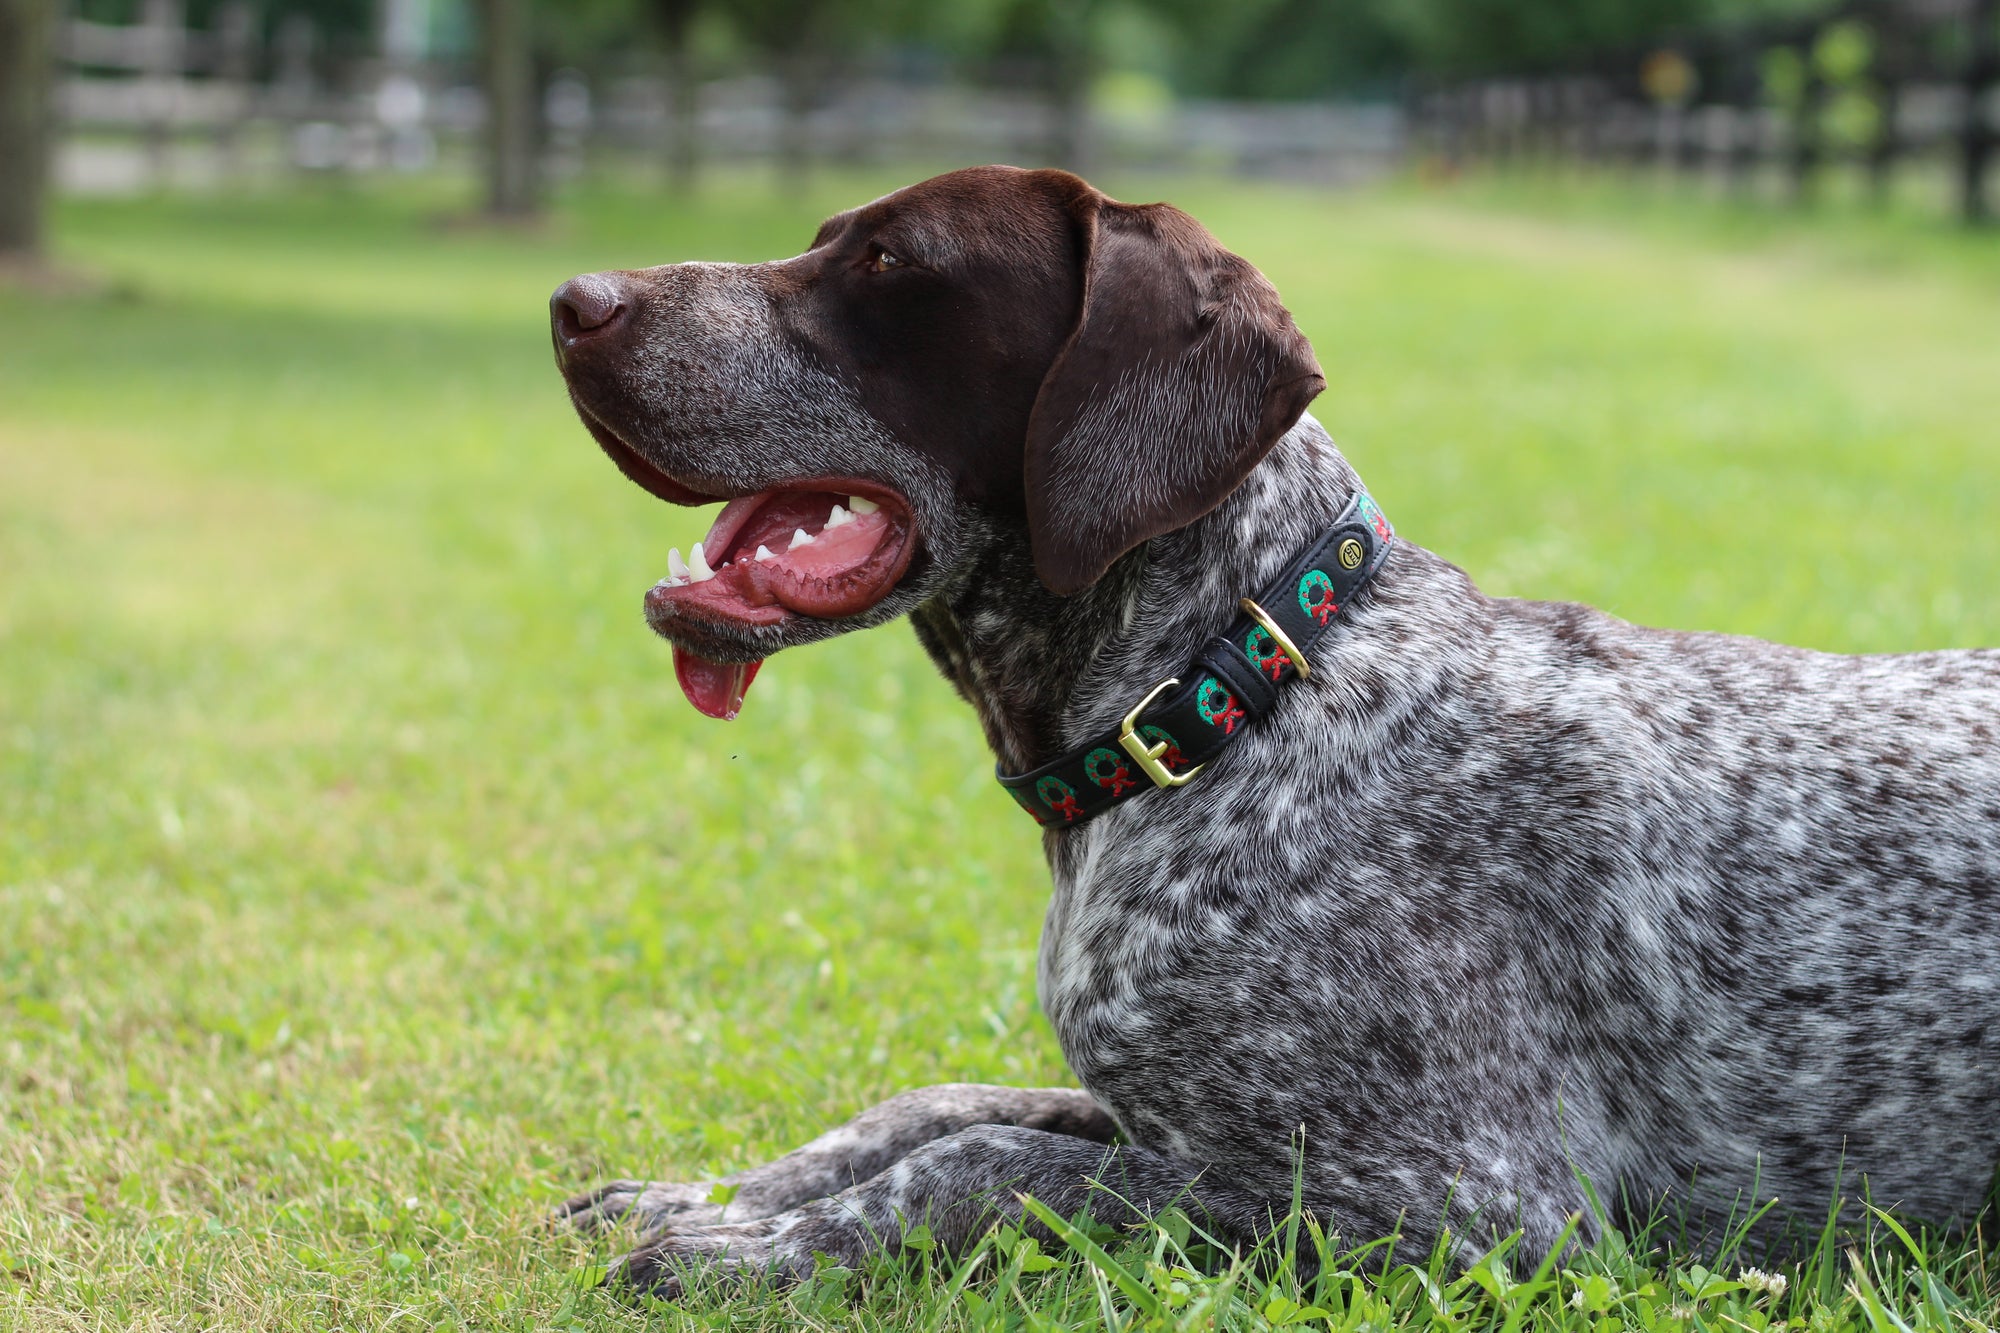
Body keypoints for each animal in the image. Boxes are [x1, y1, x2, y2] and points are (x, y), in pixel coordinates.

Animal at [544, 163, 2000, 1288]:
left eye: (892, 262)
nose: (571, 303)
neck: (1223, 694)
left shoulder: (1471, 1205)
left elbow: (987, 1162)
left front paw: (746, 1248)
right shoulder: (1160, 1107)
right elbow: (935, 1104)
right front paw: (712, 1195)